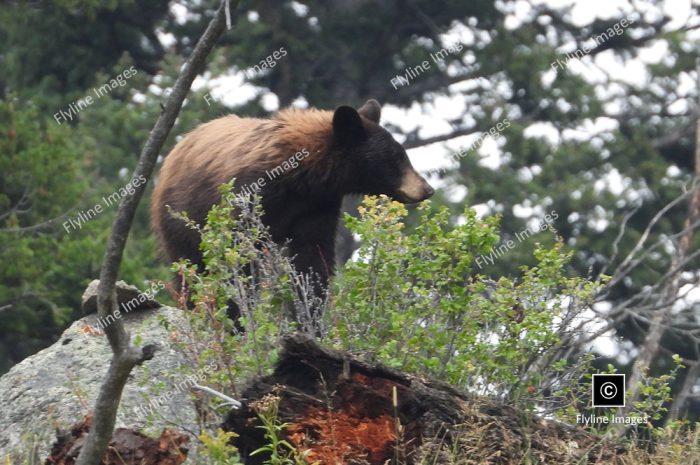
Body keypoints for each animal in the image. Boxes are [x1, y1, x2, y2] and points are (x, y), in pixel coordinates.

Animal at [152, 100, 432, 312]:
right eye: (396, 157)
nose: (427, 189)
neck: (303, 177)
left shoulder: (317, 207)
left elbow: (312, 259)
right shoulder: (250, 193)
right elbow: (237, 255)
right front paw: (238, 313)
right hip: (180, 219)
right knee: (190, 266)